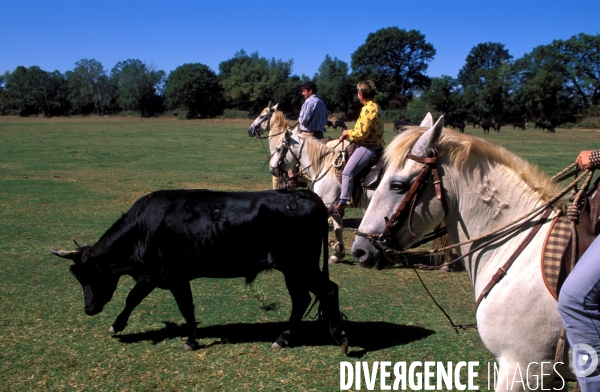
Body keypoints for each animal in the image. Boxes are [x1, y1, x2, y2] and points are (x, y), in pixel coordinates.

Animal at [49, 189, 350, 352]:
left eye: (86, 276)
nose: (89, 309)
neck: (143, 228)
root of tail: (303, 194)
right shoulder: (153, 276)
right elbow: (134, 298)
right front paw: (117, 325)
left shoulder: (172, 276)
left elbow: (184, 307)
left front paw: (191, 340)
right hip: (292, 270)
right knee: (301, 299)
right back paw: (283, 338)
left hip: (300, 266)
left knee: (327, 290)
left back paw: (339, 337)